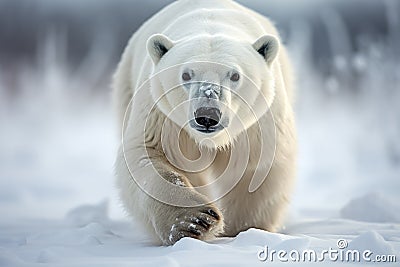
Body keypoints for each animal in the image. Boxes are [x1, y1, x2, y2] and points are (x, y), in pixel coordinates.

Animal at [112, 0, 296, 247]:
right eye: (186, 75)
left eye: (235, 75)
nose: (207, 116)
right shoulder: (161, 115)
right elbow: (149, 155)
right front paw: (195, 221)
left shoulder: (258, 122)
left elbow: (256, 167)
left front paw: (245, 229)